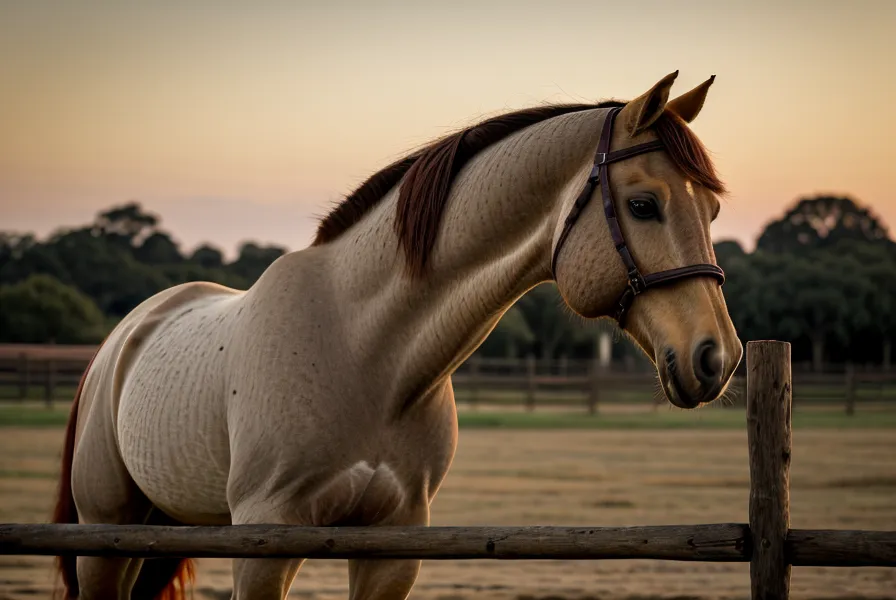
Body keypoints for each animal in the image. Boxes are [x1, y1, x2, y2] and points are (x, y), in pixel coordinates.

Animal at [52, 70, 742, 599]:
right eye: (644, 205)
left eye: (710, 211)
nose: (718, 357)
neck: (364, 352)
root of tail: (123, 339)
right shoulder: (263, 544)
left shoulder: (392, 547)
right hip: (106, 535)